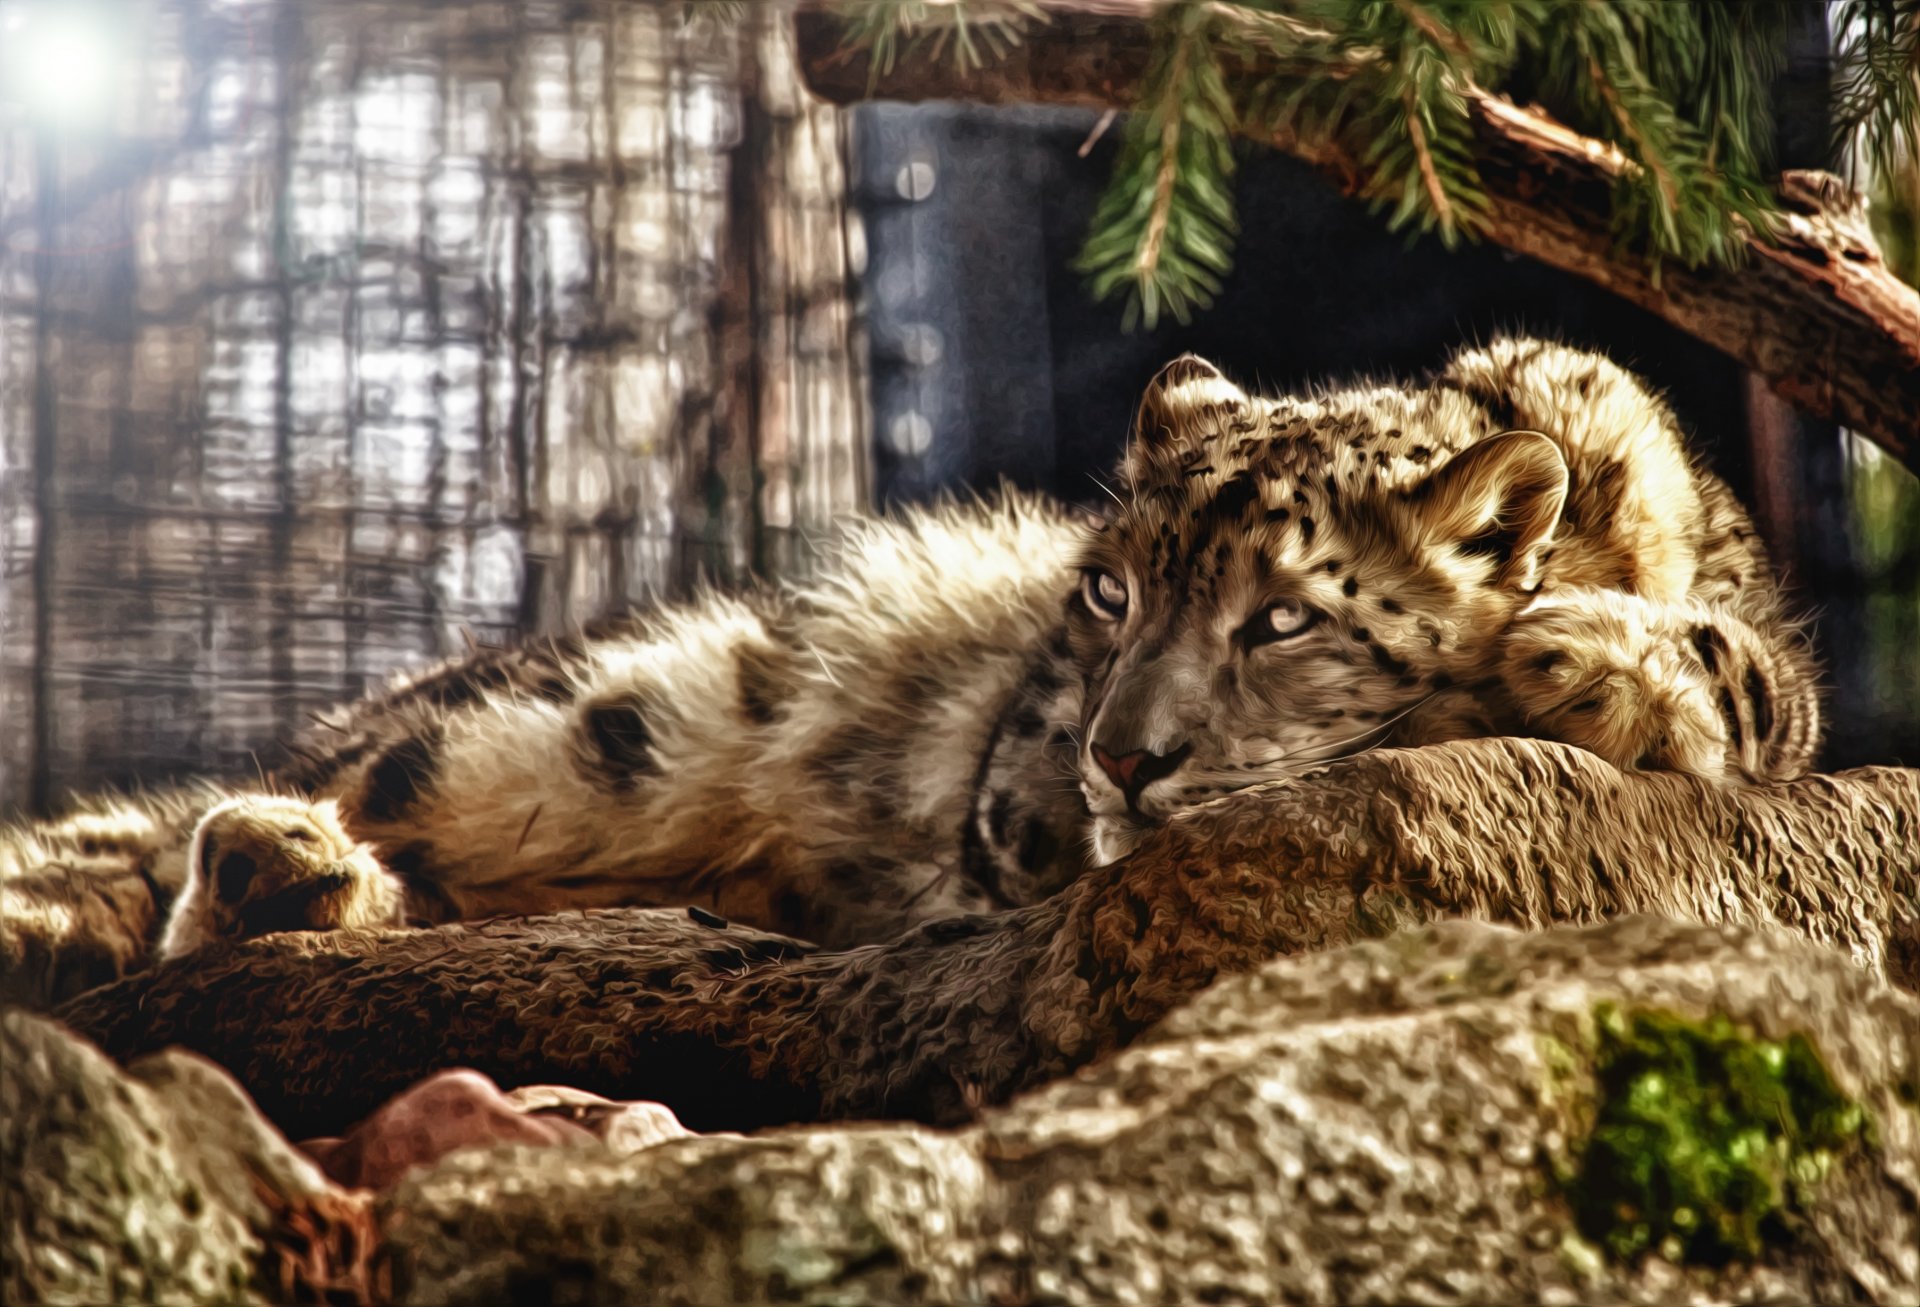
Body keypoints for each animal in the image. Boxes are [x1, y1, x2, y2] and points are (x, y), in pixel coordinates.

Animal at [0, 337, 1819, 978]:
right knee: (193, 844)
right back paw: (270, 858)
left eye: (1285, 616)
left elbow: (1760, 676)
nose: (1118, 757)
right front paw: (1572, 647)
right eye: (1110, 592)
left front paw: (1597, 654)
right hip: (591, 723)